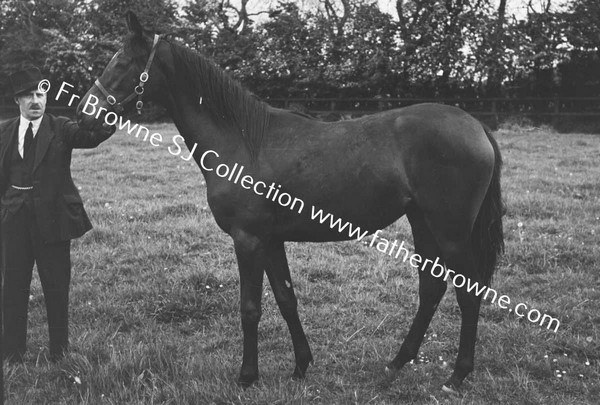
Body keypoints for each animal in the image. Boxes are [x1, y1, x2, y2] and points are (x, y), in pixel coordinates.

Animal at [77, 12, 504, 394]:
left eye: (122, 62)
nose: (84, 114)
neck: (243, 141)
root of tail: (476, 125)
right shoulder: (270, 240)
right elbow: (286, 298)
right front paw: (301, 366)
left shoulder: (247, 239)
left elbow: (250, 308)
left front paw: (247, 377)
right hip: (422, 223)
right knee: (431, 288)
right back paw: (396, 364)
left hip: (450, 232)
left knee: (467, 293)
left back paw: (456, 377)